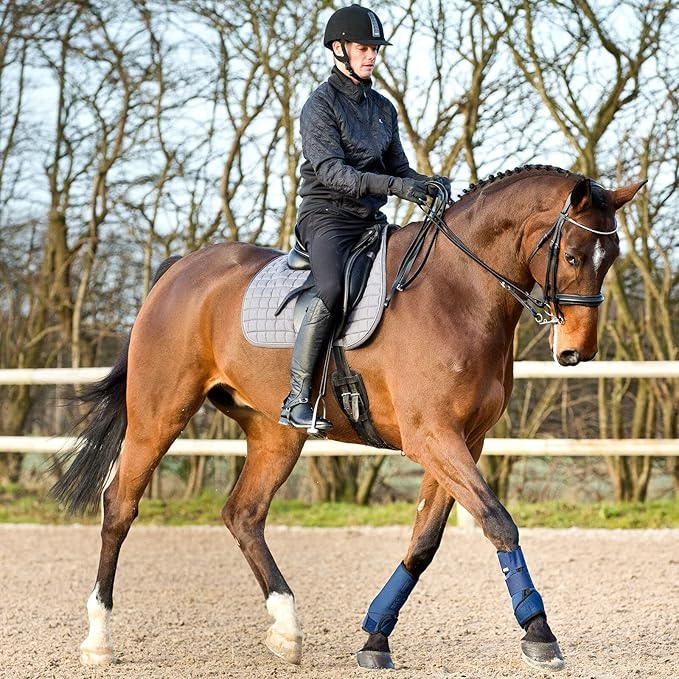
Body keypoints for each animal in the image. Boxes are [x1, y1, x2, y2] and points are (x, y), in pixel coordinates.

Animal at [52, 165, 644, 671]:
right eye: (573, 256)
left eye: (610, 256)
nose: (577, 351)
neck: (458, 292)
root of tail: (180, 269)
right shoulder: (432, 437)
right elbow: (498, 521)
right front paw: (539, 632)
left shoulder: (464, 442)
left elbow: (424, 542)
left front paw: (376, 637)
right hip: (158, 415)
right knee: (119, 506)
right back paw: (98, 641)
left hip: (274, 434)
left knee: (243, 514)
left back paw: (286, 630)